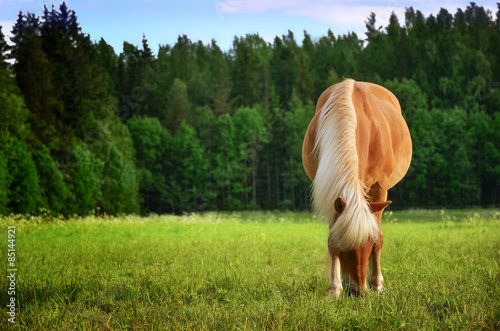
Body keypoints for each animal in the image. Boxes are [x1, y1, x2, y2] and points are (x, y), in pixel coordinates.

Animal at [302, 78, 412, 298]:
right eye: (344, 249)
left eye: (368, 246)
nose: (358, 291)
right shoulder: (331, 194)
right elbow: (331, 239)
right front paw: (334, 289)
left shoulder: (380, 187)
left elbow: (379, 236)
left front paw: (377, 285)